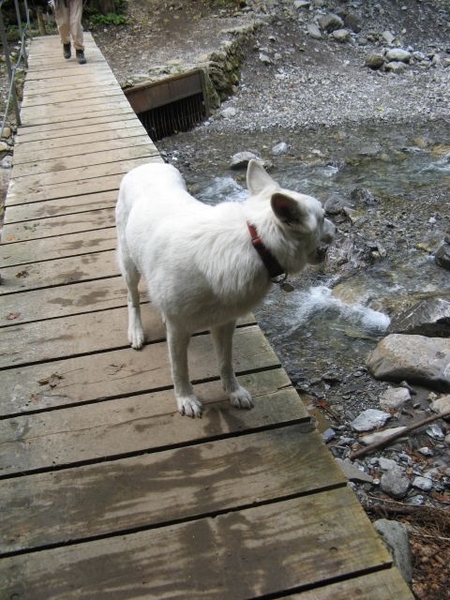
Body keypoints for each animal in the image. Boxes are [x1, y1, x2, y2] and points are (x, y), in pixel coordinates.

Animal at [116, 159, 334, 418]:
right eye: (323, 216)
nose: (337, 228)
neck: (255, 244)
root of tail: (145, 165)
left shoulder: (225, 322)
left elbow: (226, 362)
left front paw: (234, 392)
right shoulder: (179, 330)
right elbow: (180, 370)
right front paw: (185, 399)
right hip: (129, 263)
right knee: (132, 297)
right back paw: (136, 330)